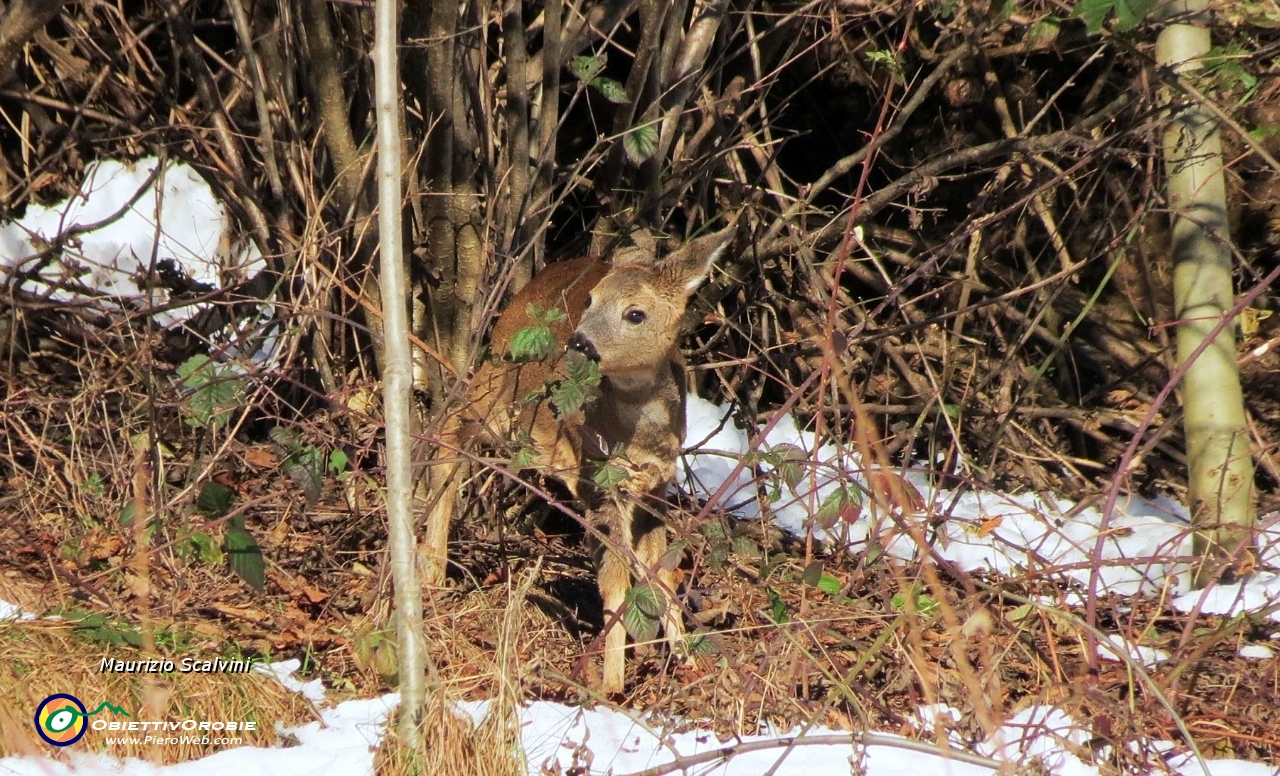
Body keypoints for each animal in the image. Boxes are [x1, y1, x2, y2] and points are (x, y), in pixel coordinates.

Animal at [424, 225, 737, 691]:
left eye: (635, 314)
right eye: (590, 300)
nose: (579, 342)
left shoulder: (658, 486)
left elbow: (659, 573)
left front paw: (686, 662)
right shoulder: (599, 479)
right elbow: (615, 581)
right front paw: (612, 683)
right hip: (495, 384)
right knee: (448, 426)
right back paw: (431, 569)